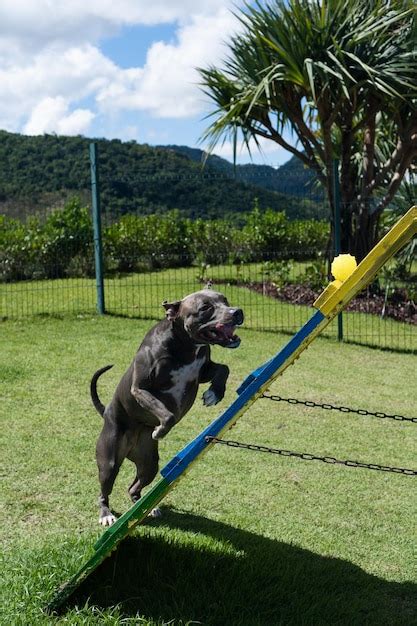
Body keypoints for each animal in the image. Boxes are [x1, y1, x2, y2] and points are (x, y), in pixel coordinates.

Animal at [89, 290, 242, 524]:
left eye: (224, 300)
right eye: (205, 308)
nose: (237, 312)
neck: (185, 346)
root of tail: (106, 412)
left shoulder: (203, 370)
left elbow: (224, 368)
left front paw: (215, 393)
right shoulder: (140, 389)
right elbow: (167, 414)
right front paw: (160, 430)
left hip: (149, 464)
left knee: (133, 487)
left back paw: (146, 508)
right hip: (109, 461)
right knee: (104, 492)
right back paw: (106, 514)